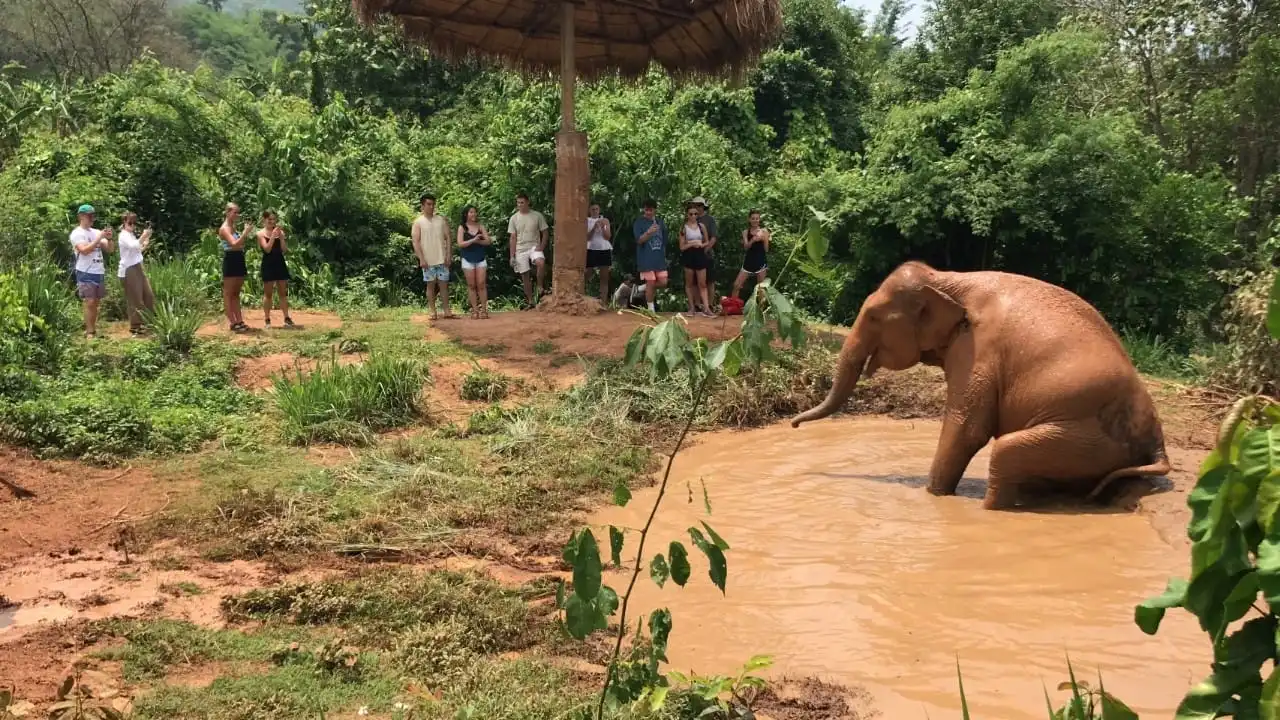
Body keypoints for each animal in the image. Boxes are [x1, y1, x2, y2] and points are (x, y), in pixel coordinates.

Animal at [788, 260, 1172, 507]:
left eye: (872, 317)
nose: (792, 424)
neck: (948, 279)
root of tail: (1156, 441)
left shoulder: (978, 349)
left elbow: (967, 427)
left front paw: (934, 497)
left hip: (1087, 436)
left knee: (1007, 453)